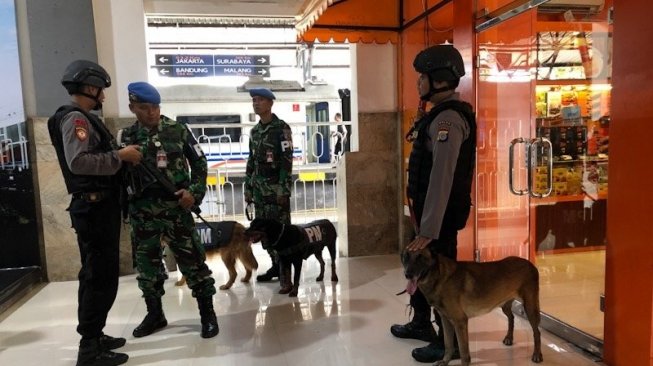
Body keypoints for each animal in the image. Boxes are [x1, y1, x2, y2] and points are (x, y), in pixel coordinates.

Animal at [400, 249, 544, 366]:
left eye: (420, 258)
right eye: (406, 257)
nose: (407, 274)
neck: (439, 277)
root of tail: (530, 264)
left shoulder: (460, 322)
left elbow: (464, 352)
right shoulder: (446, 320)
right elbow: (448, 345)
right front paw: (445, 361)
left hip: (530, 307)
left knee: (537, 332)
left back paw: (537, 354)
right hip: (504, 305)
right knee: (512, 318)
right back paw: (509, 337)